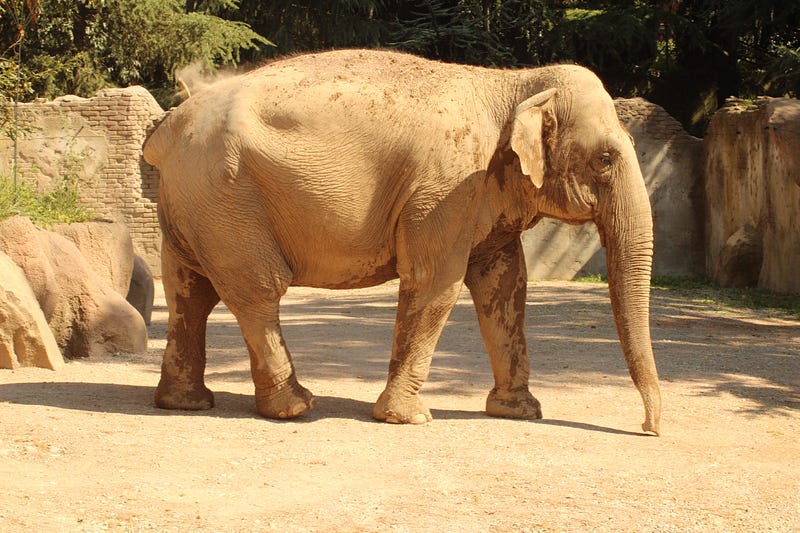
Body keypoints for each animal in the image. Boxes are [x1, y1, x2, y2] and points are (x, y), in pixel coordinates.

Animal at [144, 47, 664, 434]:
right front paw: (410, 419)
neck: (513, 83)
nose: (649, 428)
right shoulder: (446, 188)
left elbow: (505, 286)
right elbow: (435, 282)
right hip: (227, 199)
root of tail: (167, 127)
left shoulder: (478, 195)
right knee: (257, 290)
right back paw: (295, 407)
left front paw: (520, 412)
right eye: (604, 159)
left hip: (194, 205)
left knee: (190, 291)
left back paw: (186, 403)